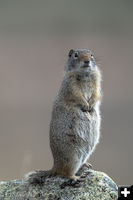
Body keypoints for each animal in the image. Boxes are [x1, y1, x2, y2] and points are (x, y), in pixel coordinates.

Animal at [25, 48, 102, 184]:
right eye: (75, 55)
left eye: (91, 55)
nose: (87, 61)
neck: (85, 74)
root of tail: (55, 166)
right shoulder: (70, 85)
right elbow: (76, 95)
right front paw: (85, 104)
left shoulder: (97, 82)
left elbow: (96, 94)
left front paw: (91, 105)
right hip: (73, 156)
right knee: (65, 173)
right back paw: (76, 177)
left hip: (83, 154)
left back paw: (85, 165)